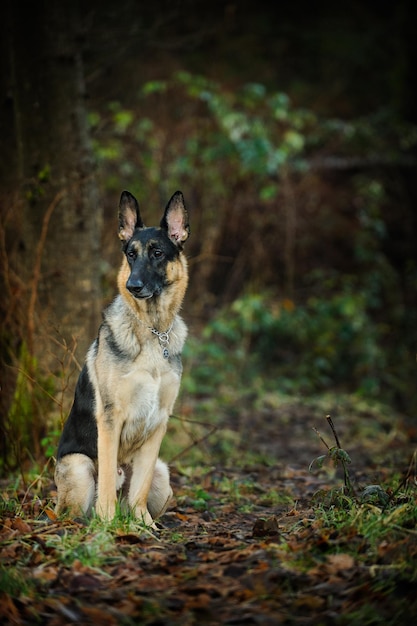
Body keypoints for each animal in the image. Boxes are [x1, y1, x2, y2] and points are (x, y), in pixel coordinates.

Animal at [53, 189, 188, 520]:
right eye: (130, 254)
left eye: (157, 253)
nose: (133, 285)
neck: (153, 331)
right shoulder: (111, 418)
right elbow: (106, 486)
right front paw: (107, 522)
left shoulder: (159, 423)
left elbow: (139, 489)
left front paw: (143, 525)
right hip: (79, 470)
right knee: (78, 509)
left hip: (163, 479)